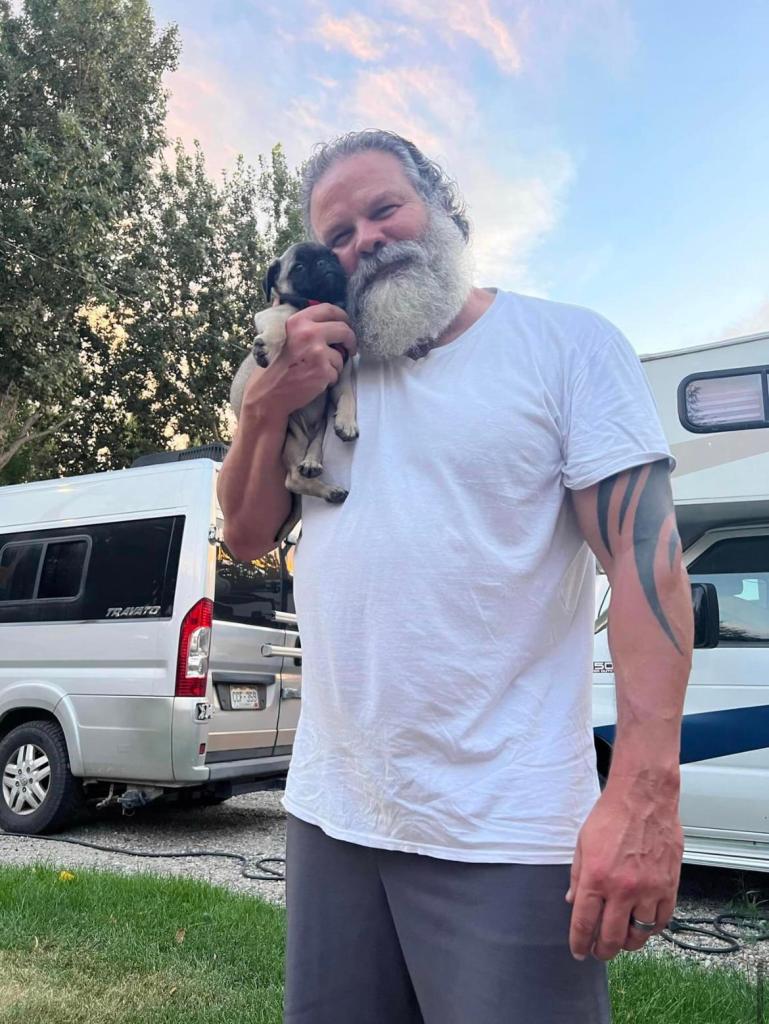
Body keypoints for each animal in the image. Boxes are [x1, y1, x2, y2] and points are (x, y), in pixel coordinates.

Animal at [230, 244, 360, 507]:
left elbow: (348, 396)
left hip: (318, 431)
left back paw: (315, 467)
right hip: (291, 437)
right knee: (292, 480)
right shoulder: (272, 315)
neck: (319, 302)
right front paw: (267, 347)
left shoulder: (341, 378)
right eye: (298, 267)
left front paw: (347, 422)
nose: (324, 263)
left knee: (310, 456)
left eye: (332, 256)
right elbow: (280, 327)